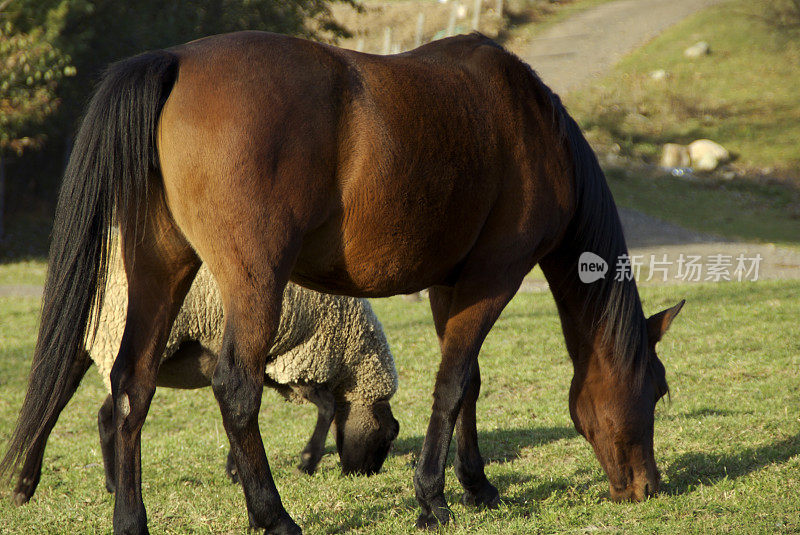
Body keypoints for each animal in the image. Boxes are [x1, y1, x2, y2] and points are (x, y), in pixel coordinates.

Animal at [89, 249, 398, 488]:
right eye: (388, 436)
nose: (362, 475)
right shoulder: (298, 361)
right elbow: (328, 405)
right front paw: (308, 460)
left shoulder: (275, 368)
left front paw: (234, 469)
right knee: (111, 414)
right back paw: (115, 483)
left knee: (105, 415)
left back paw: (111, 483)